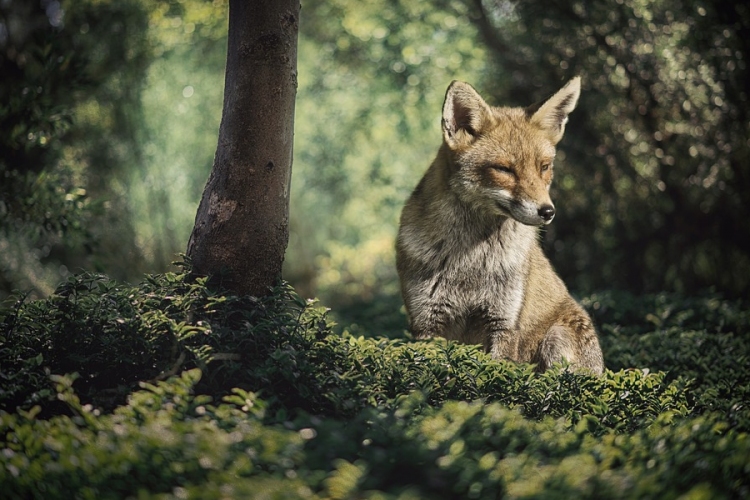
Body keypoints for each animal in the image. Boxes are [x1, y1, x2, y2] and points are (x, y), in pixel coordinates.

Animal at [400, 78, 604, 374]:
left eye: (544, 167)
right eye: (504, 169)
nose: (548, 212)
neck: (470, 261)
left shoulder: (504, 322)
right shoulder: (427, 323)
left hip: (556, 339)